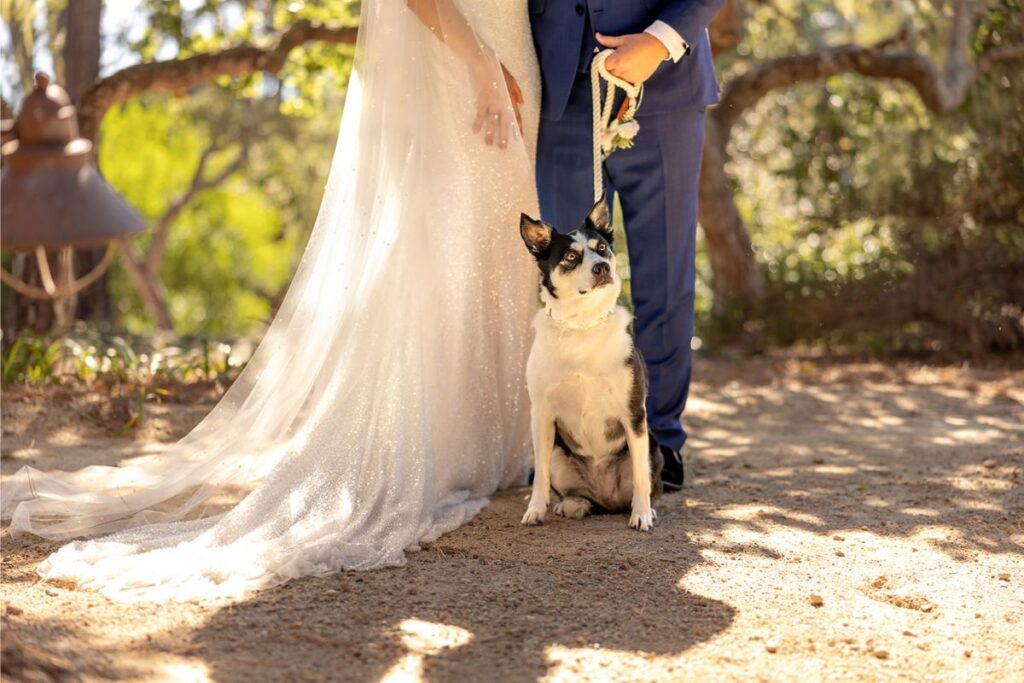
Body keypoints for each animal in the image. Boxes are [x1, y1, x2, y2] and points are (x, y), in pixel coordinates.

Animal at [520, 194, 663, 532]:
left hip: (652, 446)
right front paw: (536, 510)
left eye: (602, 248)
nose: (602, 267)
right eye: (571, 256)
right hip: (560, 457)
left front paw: (641, 515)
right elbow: (539, 477)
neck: (581, 326)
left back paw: (644, 508)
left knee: (646, 482)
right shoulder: (541, 415)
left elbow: (641, 478)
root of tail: (606, 498)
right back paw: (572, 505)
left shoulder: (633, 414)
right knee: (574, 493)